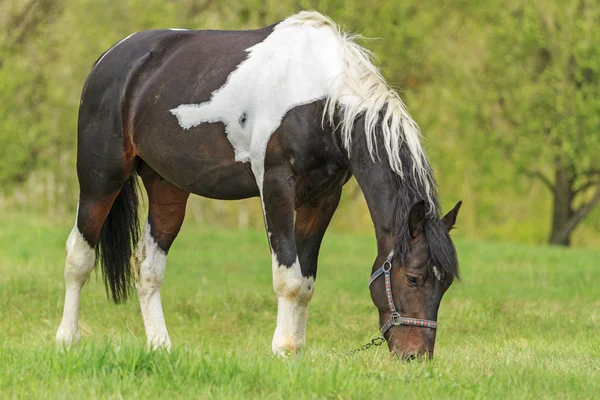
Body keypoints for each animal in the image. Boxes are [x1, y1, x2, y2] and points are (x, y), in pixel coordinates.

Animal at [55, 10, 460, 360]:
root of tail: (110, 58)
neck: (319, 98)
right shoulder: (276, 185)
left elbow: (306, 281)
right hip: (100, 178)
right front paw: (283, 349)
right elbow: (288, 277)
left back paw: (160, 347)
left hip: (167, 188)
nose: (416, 356)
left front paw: (298, 350)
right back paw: (67, 339)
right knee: (79, 256)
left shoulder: (323, 196)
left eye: (445, 284)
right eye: (413, 279)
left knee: (147, 265)